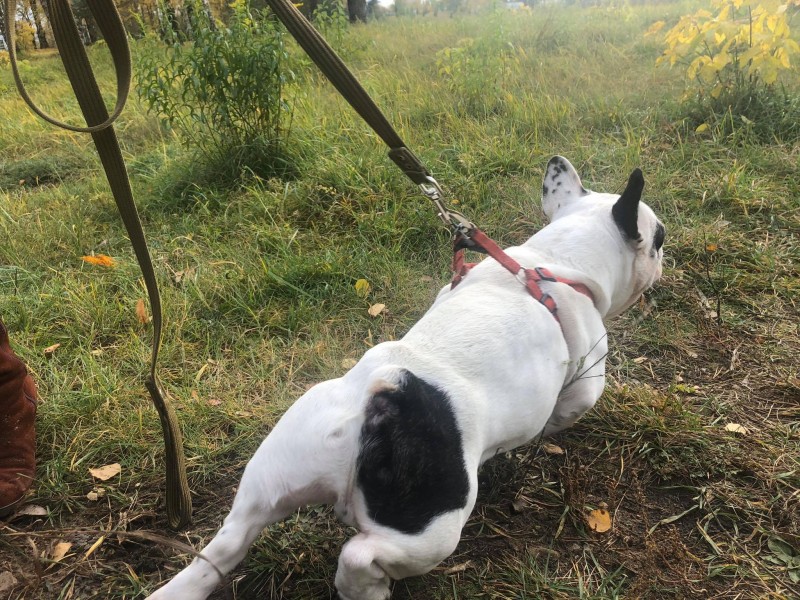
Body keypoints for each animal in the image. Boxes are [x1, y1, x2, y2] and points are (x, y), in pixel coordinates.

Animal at [147, 156, 664, 599]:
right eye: (659, 238)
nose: (665, 251)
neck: (557, 260)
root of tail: (380, 400)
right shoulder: (587, 376)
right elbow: (567, 411)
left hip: (275, 471)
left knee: (225, 545)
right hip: (434, 524)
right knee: (361, 554)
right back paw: (363, 588)